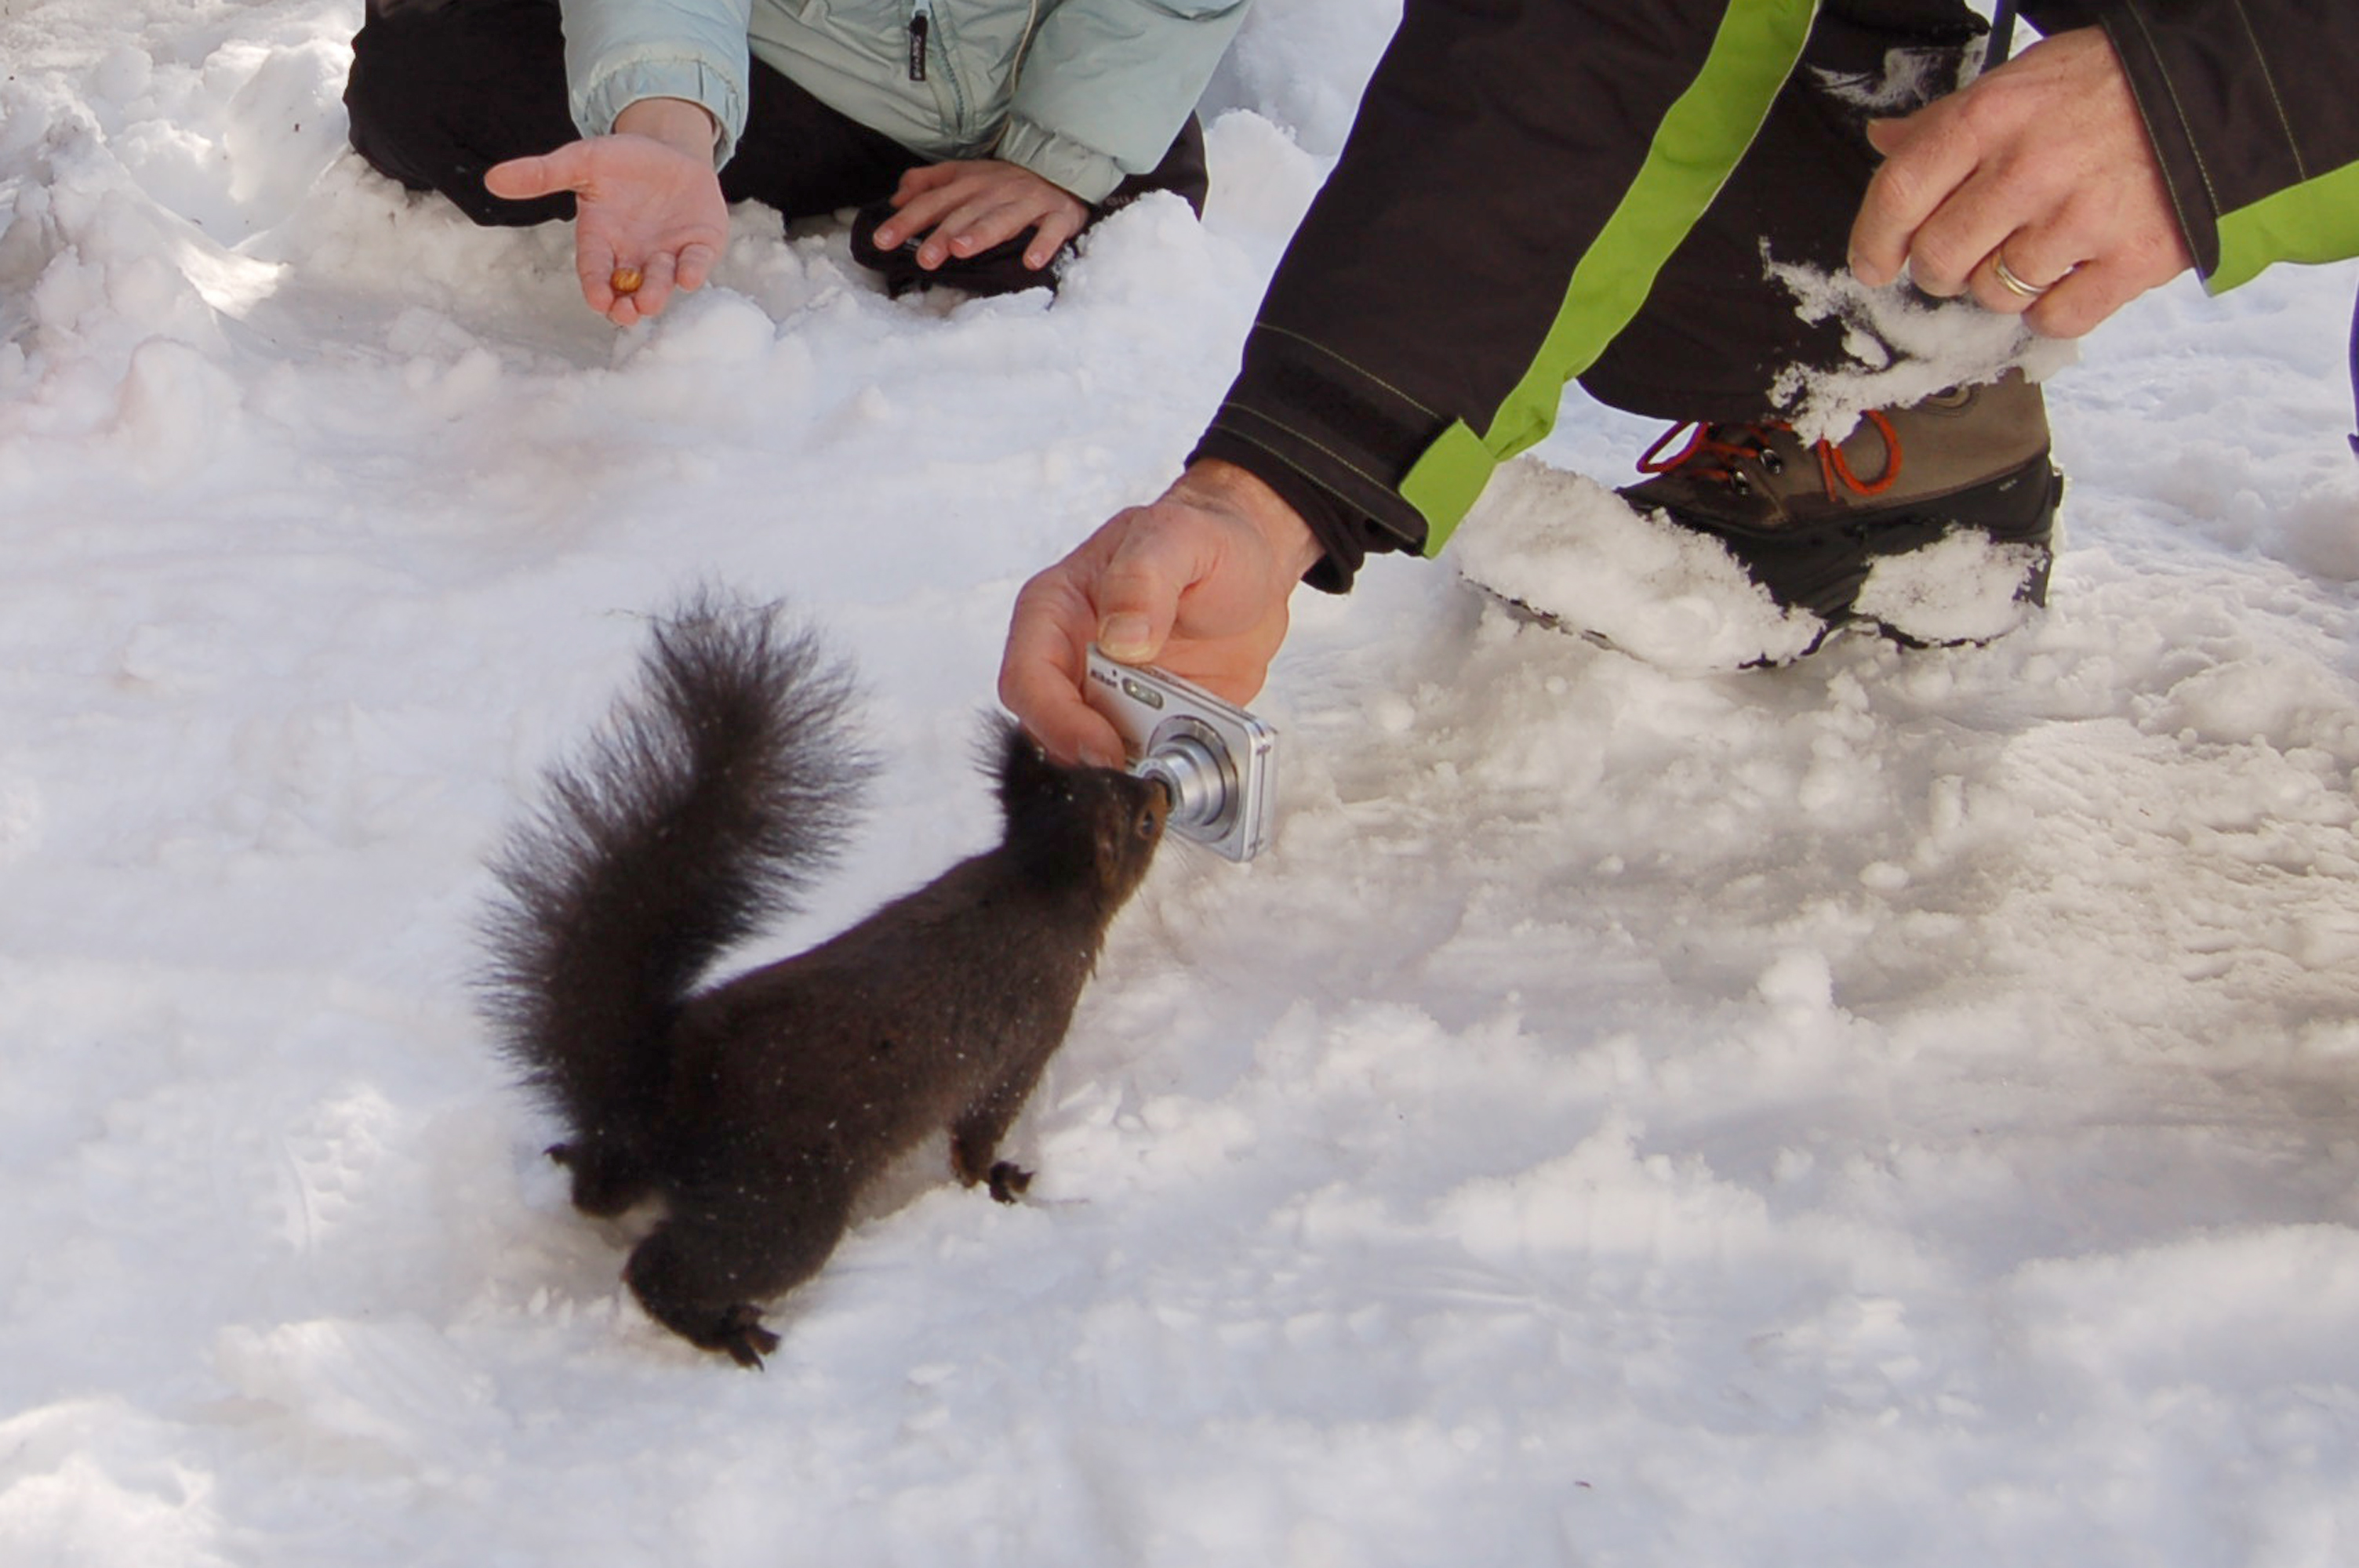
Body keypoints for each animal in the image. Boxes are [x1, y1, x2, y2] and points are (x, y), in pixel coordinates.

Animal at [481, 593, 1169, 1367]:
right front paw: (998, 1180)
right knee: (663, 1267)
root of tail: (654, 1103)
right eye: (1144, 821)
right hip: (782, 1205)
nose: (1161, 789)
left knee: (600, 1191)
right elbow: (979, 1131)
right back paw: (728, 1330)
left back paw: (575, 1161)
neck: (1034, 880)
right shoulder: (1024, 1039)